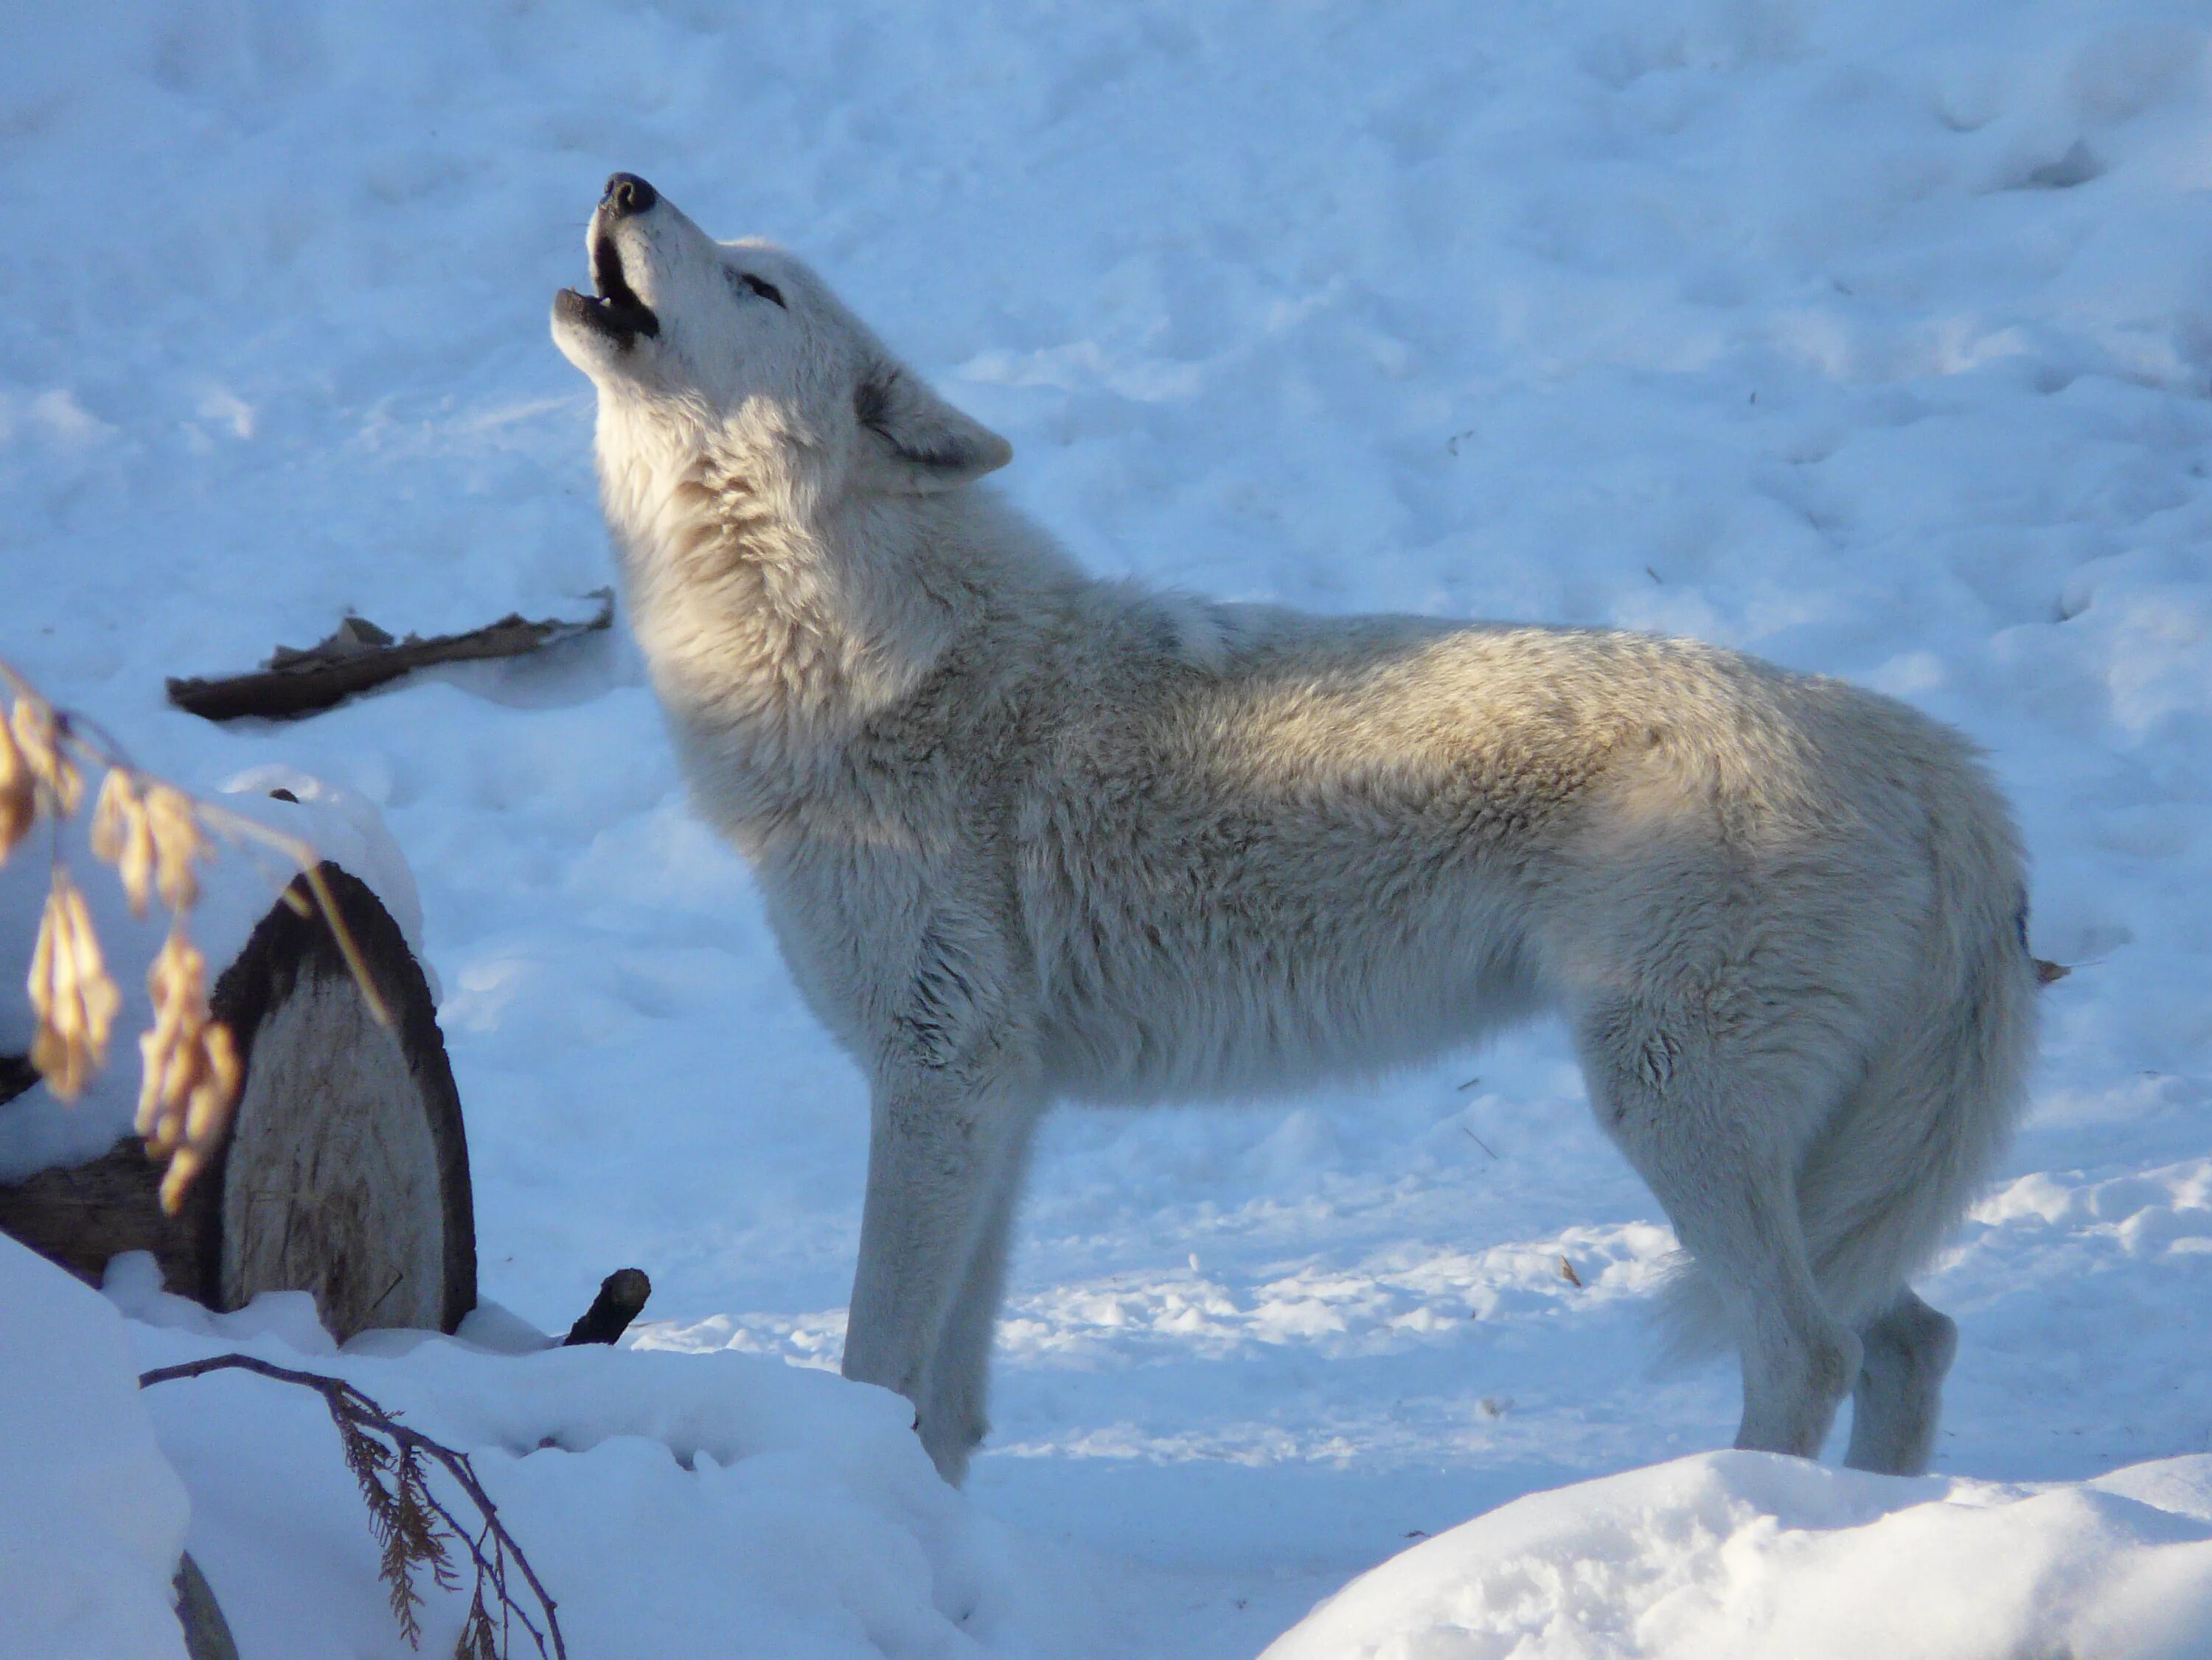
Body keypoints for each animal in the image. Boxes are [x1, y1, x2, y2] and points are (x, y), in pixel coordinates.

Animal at [553, 176, 2035, 1487]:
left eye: (759, 285)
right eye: (734, 256)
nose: (625, 182)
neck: (865, 659)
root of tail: (1944, 766)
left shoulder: (935, 1079)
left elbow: (876, 1367)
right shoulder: (997, 1104)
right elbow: (947, 1410)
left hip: (1671, 1105)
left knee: (1809, 1350)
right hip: (1806, 1170)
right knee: (1917, 1337)